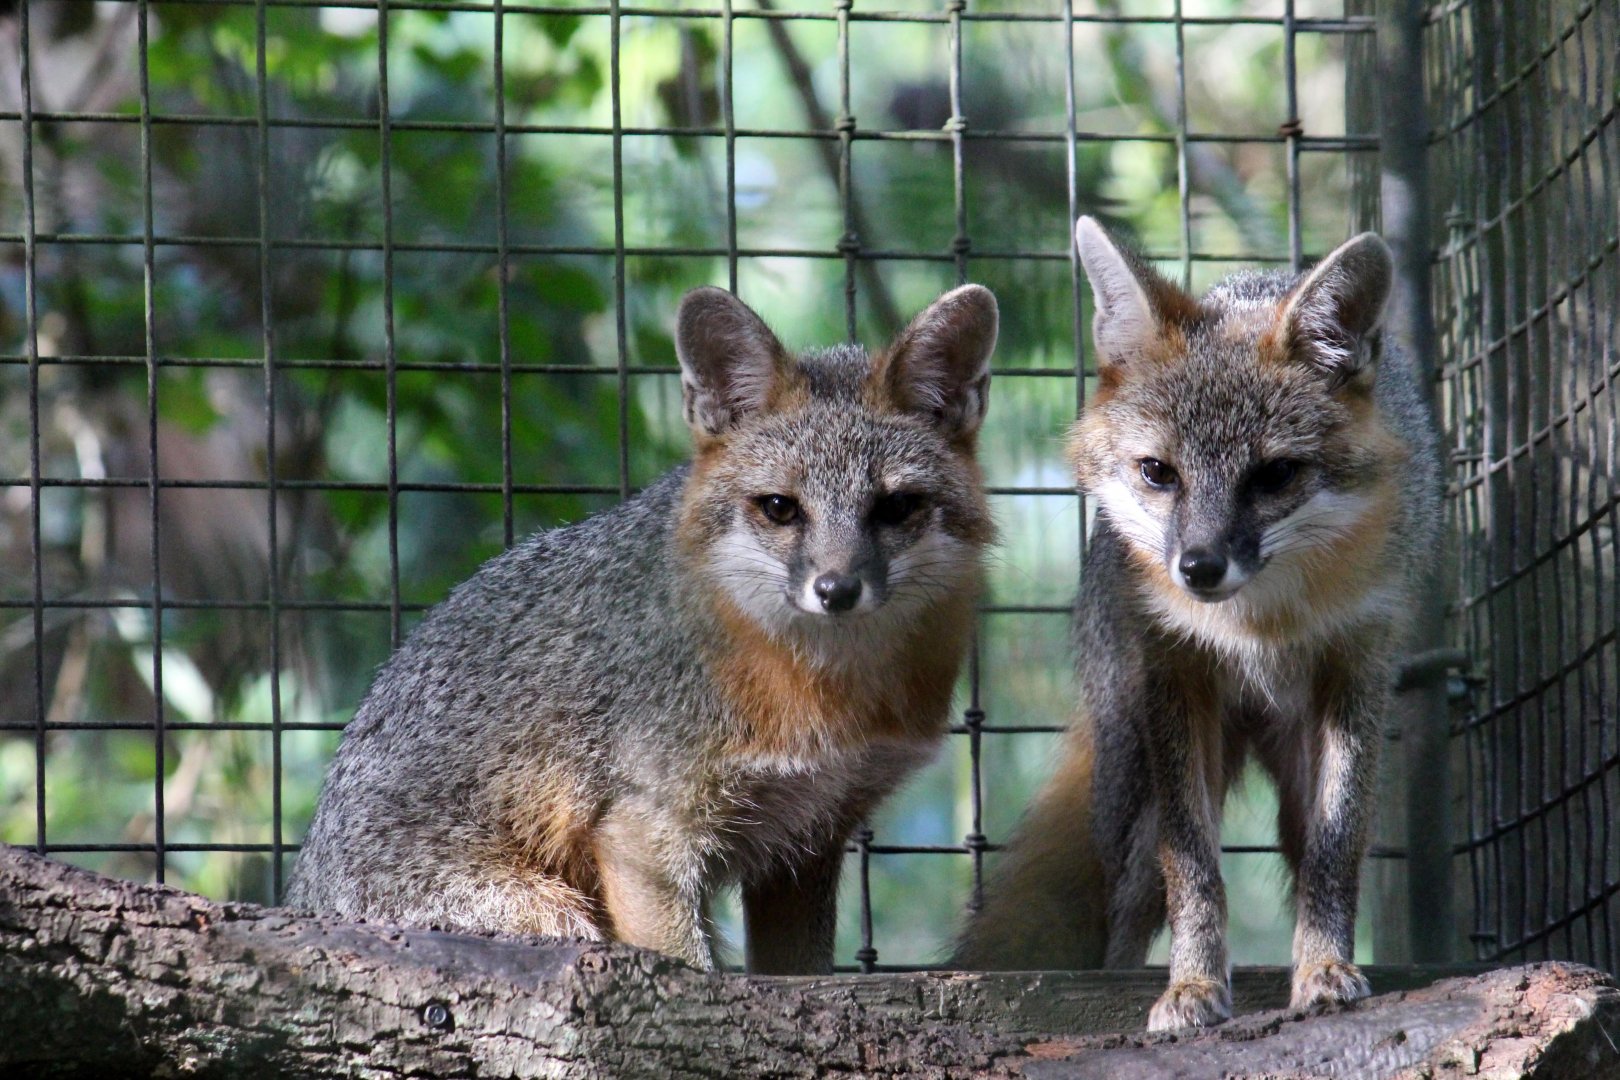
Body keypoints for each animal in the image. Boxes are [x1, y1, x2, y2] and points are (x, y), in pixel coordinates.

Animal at [287, 283, 998, 975]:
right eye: (779, 508)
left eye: (896, 507)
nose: (836, 590)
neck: (827, 696)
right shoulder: (645, 831)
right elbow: (686, 965)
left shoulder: (809, 838)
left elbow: (800, 973)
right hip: (554, 911)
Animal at [955, 218, 1442, 1031]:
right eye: (1159, 472)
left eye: (1274, 476)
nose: (1199, 567)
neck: (1261, 627)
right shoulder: (1175, 674)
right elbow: (1193, 865)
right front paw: (1191, 984)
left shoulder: (1357, 665)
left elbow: (1335, 847)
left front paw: (1325, 968)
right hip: (1135, 785)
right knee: (1126, 900)